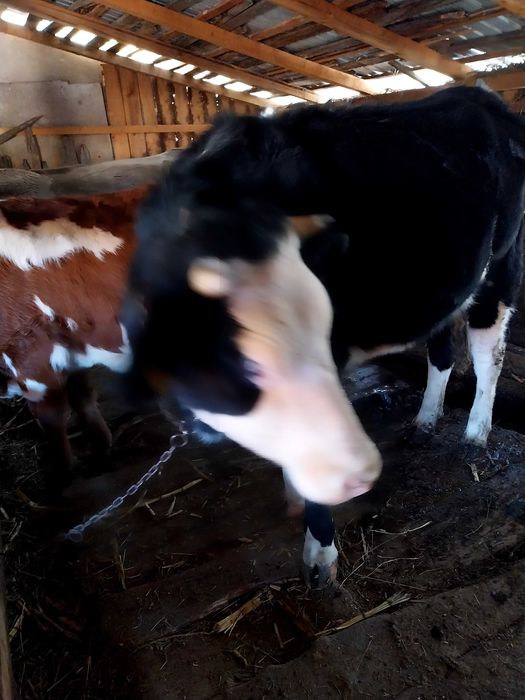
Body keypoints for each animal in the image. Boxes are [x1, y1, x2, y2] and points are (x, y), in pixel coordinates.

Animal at [0, 189, 144, 485]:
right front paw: (102, 448)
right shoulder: (69, 348)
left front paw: (63, 474)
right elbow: (83, 398)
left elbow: (53, 417)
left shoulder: (31, 357)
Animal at [121, 85, 525, 586]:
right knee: (442, 350)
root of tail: (478, 95)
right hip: (450, 279)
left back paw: (475, 432)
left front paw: (320, 554)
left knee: (490, 354)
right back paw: (425, 421)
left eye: (318, 329)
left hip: (502, 264)